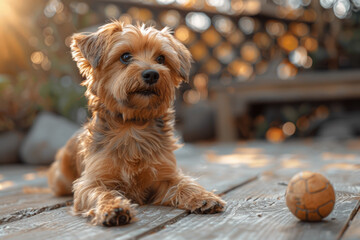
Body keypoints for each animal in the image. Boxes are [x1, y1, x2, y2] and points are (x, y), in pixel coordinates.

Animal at [46, 21, 224, 227]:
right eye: (125, 57)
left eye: (161, 58)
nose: (152, 74)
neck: (133, 125)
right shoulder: (91, 181)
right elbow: (100, 193)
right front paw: (114, 209)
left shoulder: (165, 174)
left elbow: (184, 183)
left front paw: (203, 197)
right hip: (61, 179)